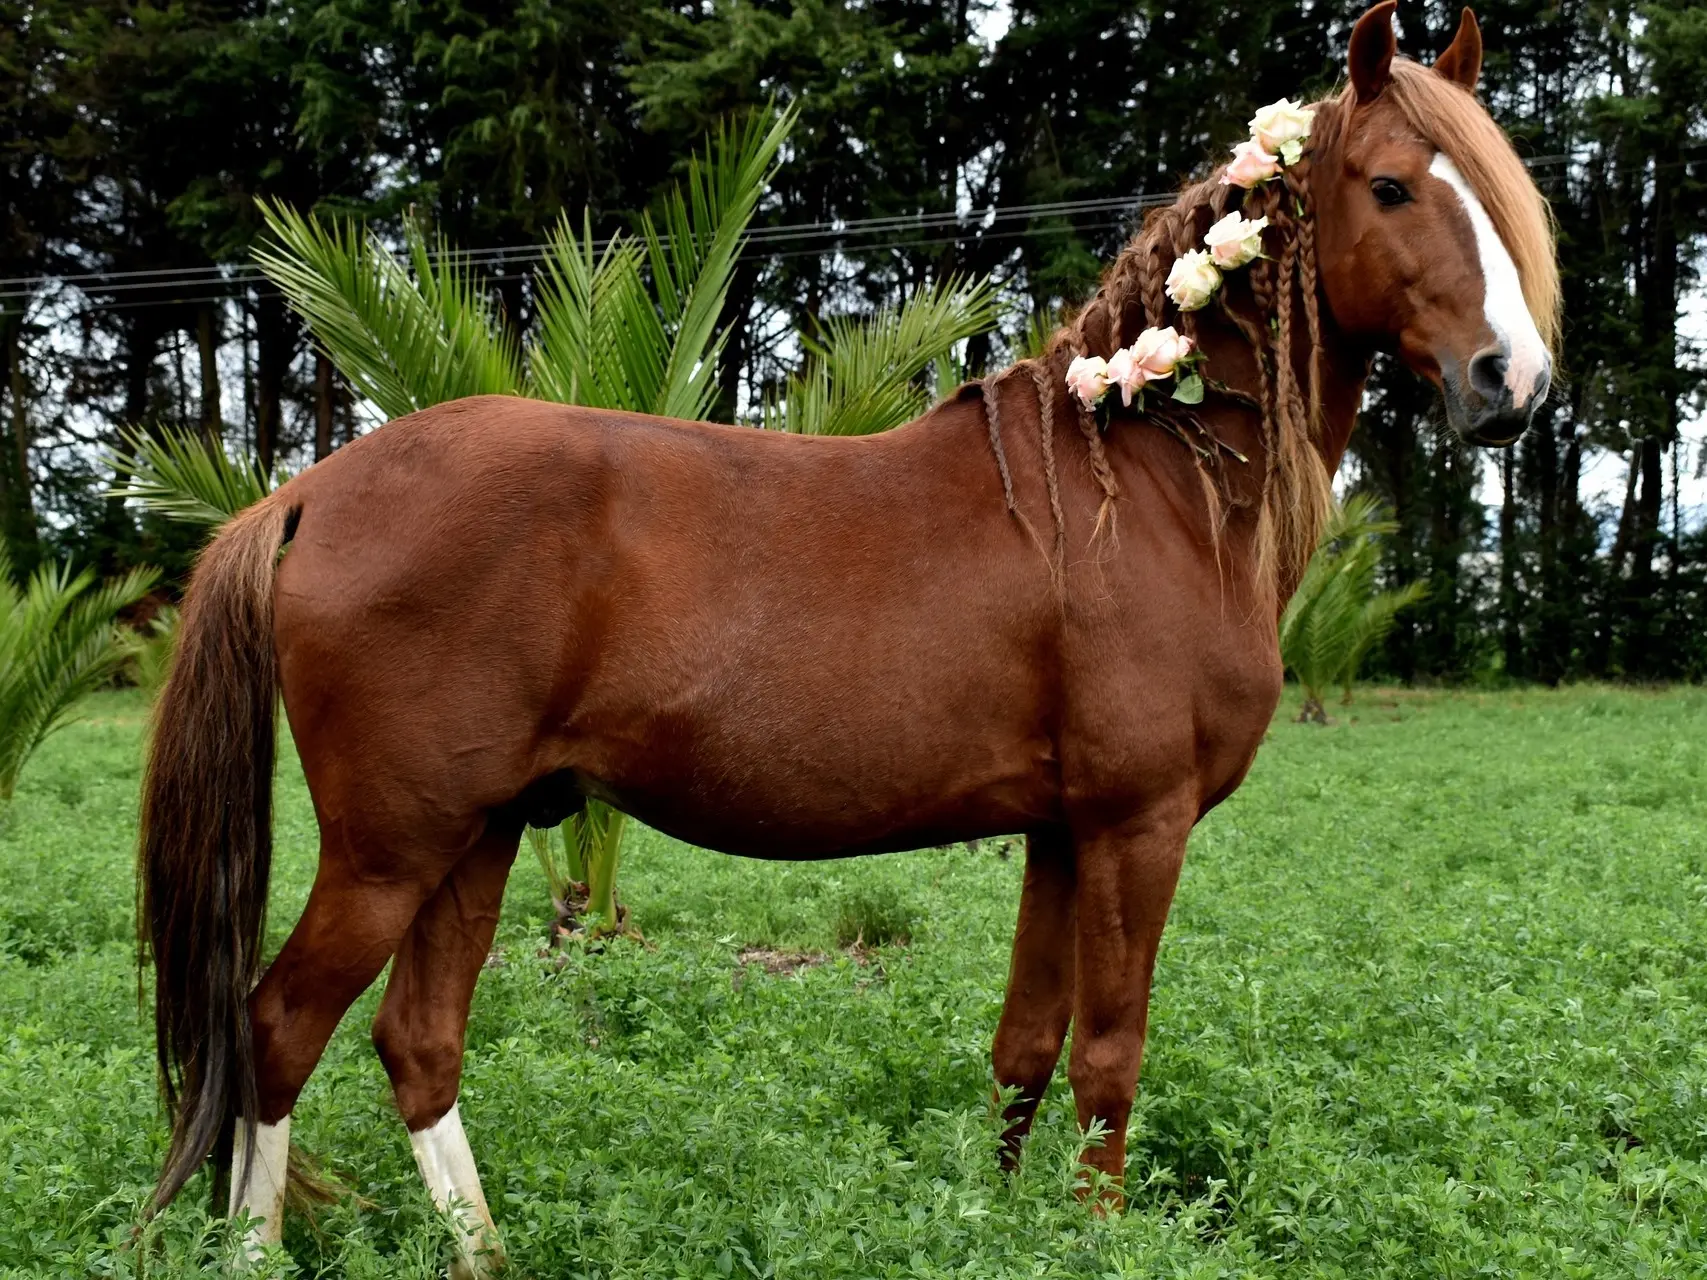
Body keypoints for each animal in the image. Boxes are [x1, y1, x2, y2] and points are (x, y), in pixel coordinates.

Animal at [139, 5, 1563, 1276]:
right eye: (1391, 185)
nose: (1513, 381)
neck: (1149, 480)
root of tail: (308, 492)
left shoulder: (1062, 831)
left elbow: (1026, 1045)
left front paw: (1000, 1222)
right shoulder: (1135, 825)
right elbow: (1111, 1052)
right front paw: (1091, 1236)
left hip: (480, 831)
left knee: (417, 1042)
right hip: (393, 845)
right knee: (277, 1027)